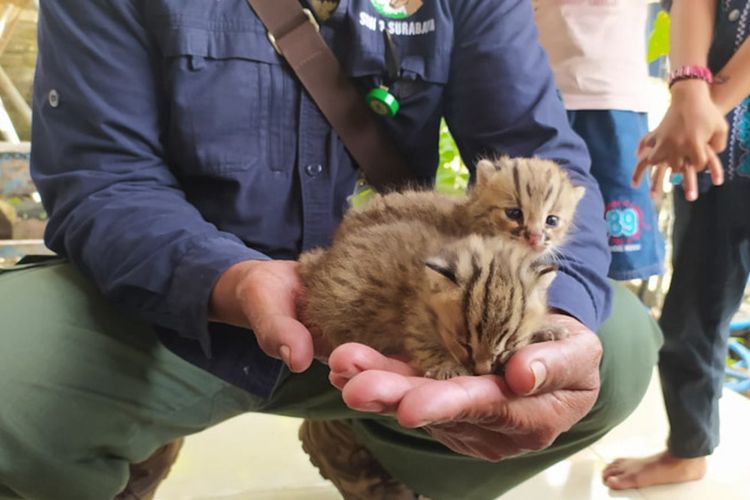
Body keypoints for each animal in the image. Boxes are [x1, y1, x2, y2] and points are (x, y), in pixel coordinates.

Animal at [296, 222, 560, 378]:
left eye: (507, 347)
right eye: (465, 344)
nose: (482, 372)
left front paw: (547, 329)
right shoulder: (414, 321)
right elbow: (426, 346)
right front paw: (449, 367)